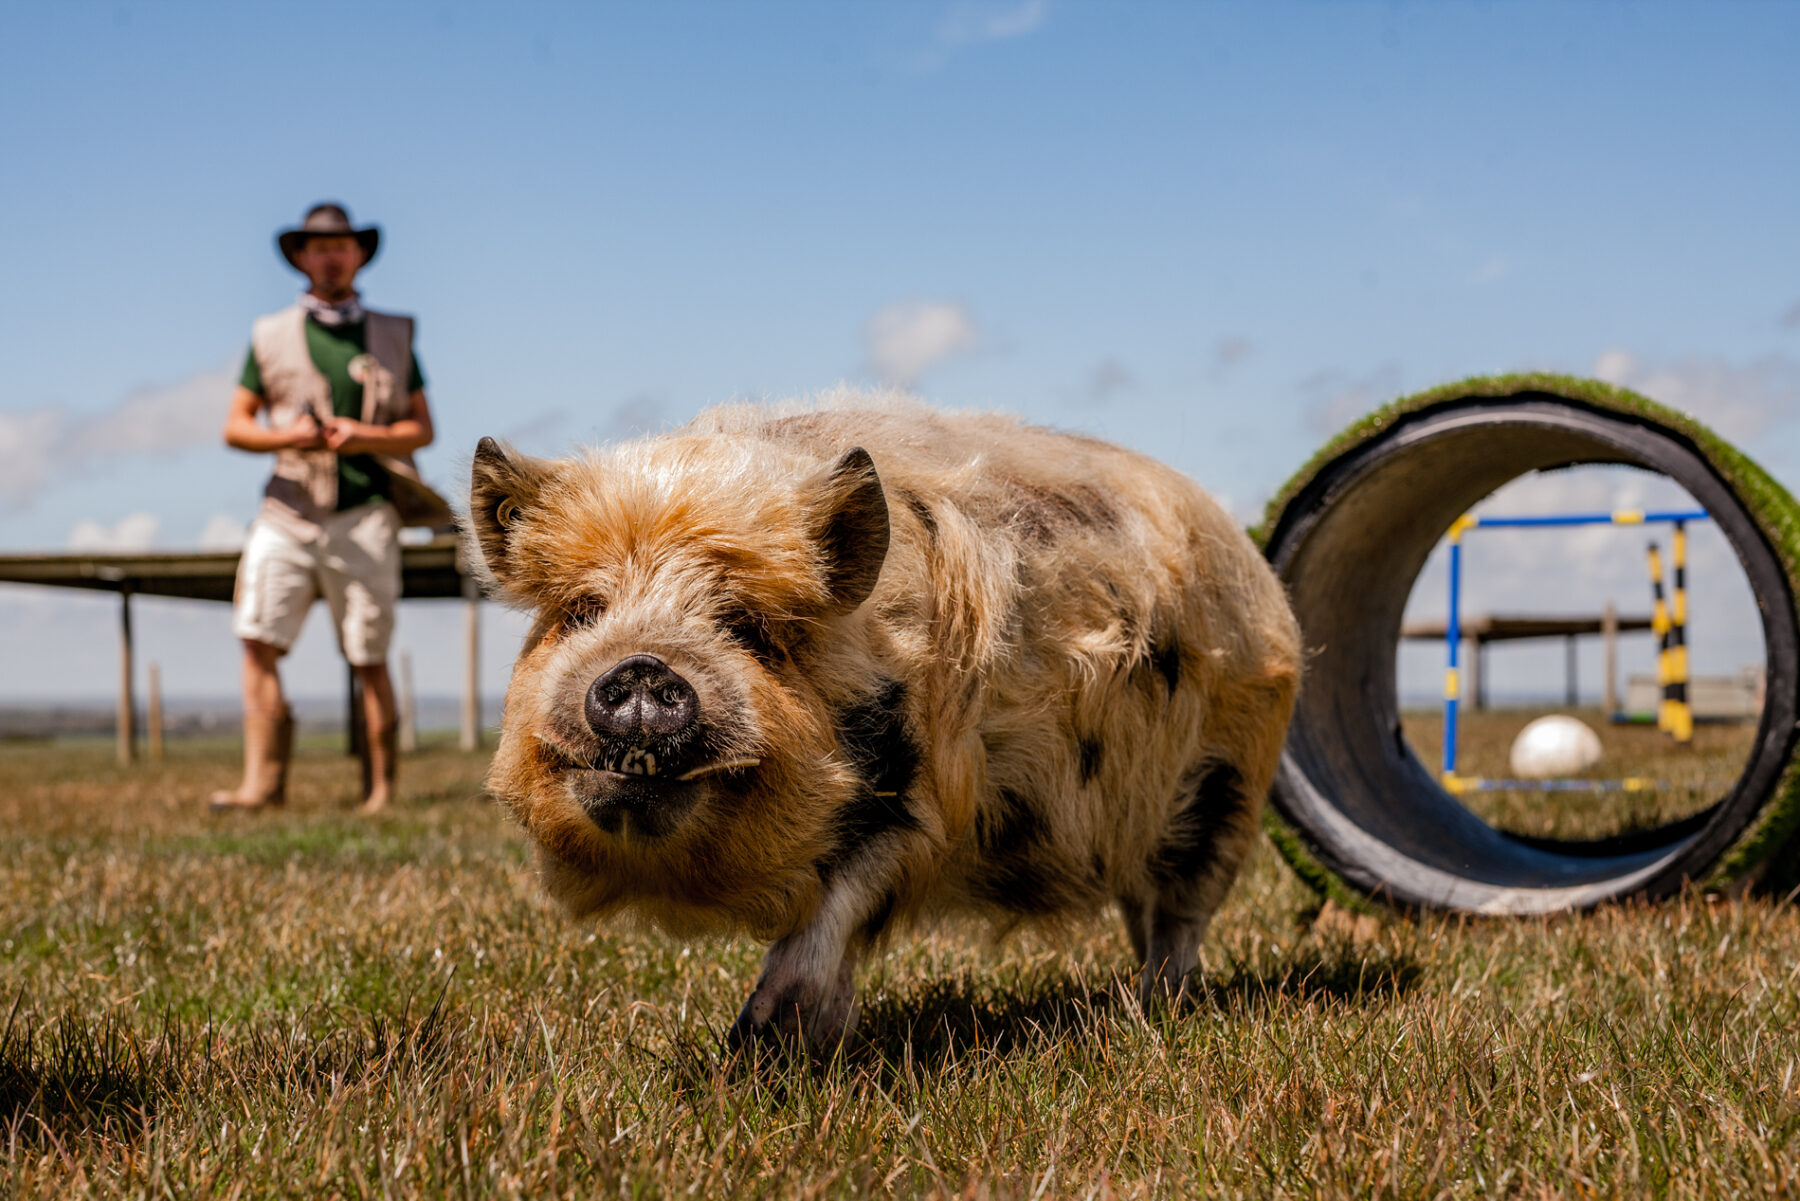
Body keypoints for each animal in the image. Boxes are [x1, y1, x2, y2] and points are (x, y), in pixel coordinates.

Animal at [471, 399, 1303, 1044]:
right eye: (582, 611)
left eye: (747, 626)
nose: (643, 668)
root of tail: (1265, 583)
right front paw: (802, 1041)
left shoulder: (926, 795)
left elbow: (834, 911)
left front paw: (756, 1042)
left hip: (1232, 783)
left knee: (1183, 910)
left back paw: (1159, 1003)